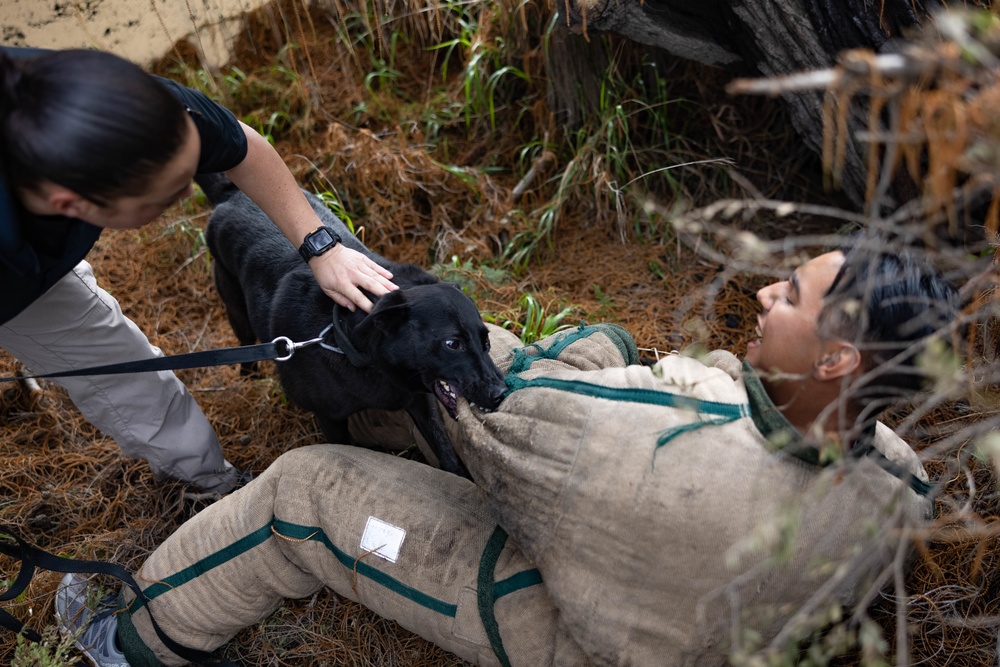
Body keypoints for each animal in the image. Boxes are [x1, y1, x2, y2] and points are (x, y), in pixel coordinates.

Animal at [199, 172, 508, 474]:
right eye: (452, 344)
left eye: (486, 341)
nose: (500, 394)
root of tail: (232, 192)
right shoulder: (330, 417)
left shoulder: (420, 399)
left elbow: (445, 451)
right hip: (235, 309)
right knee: (245, 345)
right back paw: (248, 379)